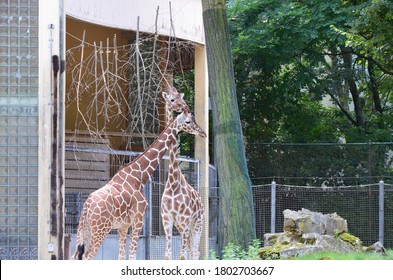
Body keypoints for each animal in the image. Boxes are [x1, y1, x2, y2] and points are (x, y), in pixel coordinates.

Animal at [71, 110, 205, 260]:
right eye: (188, 121)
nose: (203, 133)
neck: (139, 176)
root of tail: (87, 206)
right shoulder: (138, 219)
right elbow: (132, 256)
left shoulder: (123, 226)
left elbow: (122, 256)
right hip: (100, 229)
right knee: (87, 256)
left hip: (84, 230)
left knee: (75, 255)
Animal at [160, 87, 204, 260]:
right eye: (172, 99)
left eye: (181, 97)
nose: (184, 105)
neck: (173, 183)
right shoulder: (167, 219)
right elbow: (167, 255)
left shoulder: (185, 220)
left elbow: (182, 256)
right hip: (182, 226)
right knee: (192, 251)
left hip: (197, 223)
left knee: (195, 252)